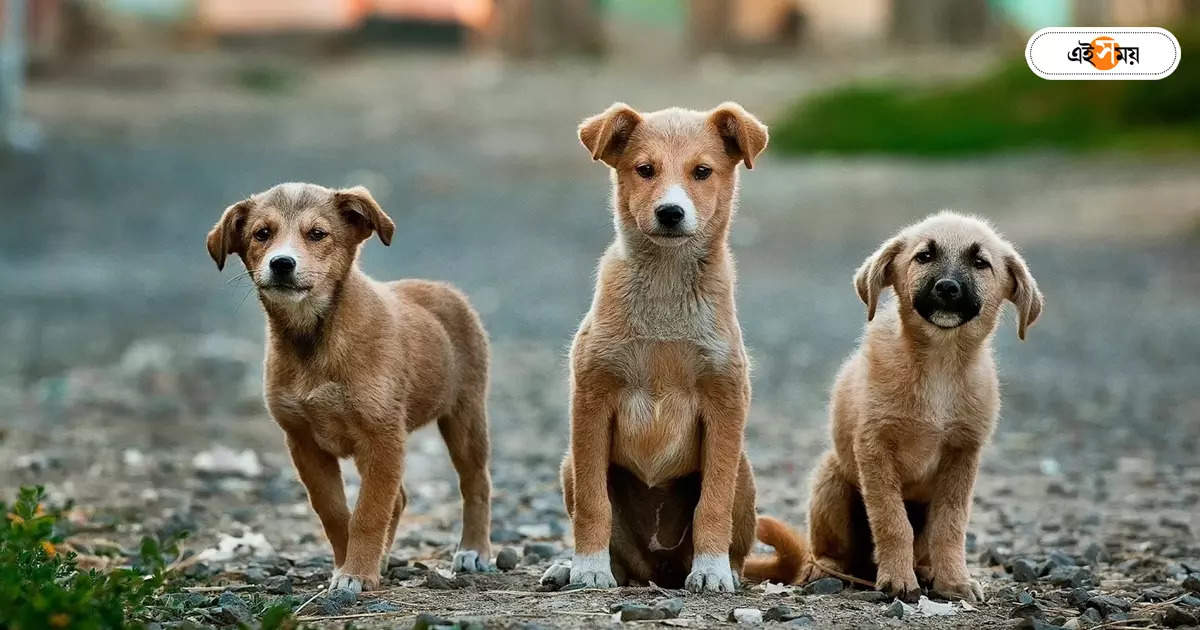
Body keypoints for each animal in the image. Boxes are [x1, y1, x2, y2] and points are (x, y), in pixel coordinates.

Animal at [207, 182, 492, 595]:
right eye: (262, 234)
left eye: (317, 234)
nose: (282, 263)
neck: (314, 339)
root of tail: (443, 289)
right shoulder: (304, 442)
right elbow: (335, 512)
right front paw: (349, 566)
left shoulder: (382, 436)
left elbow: (369, 512)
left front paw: (356, 572)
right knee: (400, 498)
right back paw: (384, 559)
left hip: (465, 415)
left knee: (475, 483)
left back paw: (473, 550)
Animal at [544, 102, 768, 590]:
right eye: (645, 170)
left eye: (702, 172)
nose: (670, 212)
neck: (666, 286)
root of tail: (659, 570)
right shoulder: (591, 399)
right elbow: (593, 504)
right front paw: (588, 568)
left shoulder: (726, 402)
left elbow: (712, 504)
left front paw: (711, 571)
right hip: (570, 464)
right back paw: (575, 566)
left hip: (744, 471)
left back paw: (725, 570)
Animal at [744, 211, 1046, 600]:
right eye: (924, 256)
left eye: (981, 263)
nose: (947, 287)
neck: (939, 364)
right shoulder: (875, 448)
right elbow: (891, 521)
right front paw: (898, 579)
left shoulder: (963, 454)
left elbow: (950, 526)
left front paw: (954, 581)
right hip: (831, 479)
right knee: (828, 551)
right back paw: (828, 570)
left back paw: (926, 570)